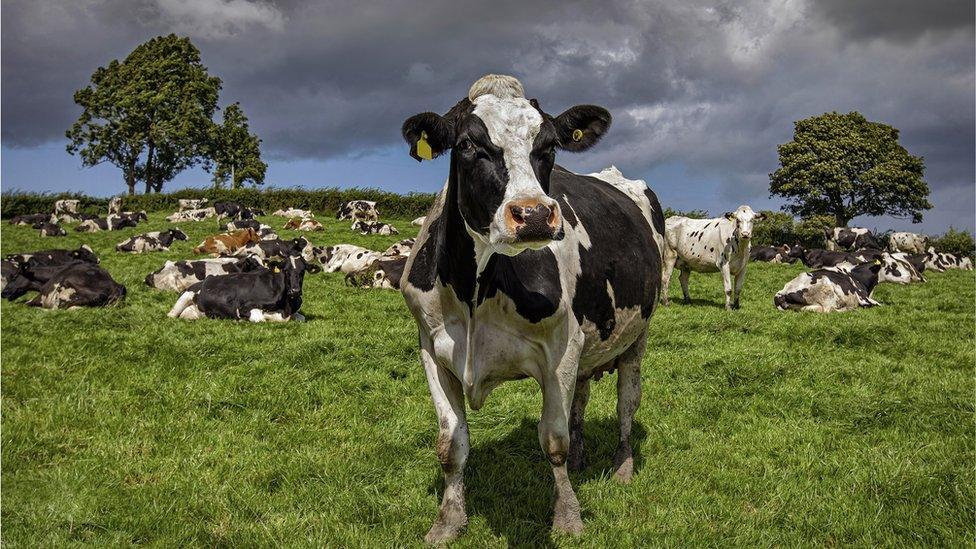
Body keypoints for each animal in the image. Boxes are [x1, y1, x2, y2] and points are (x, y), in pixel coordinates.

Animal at [168, 256, 318, 322]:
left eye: (302, 271)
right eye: (286, 271)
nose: (295, 291)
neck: (286, 306)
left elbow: (301, 317)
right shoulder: (244, 308)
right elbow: (261, 318)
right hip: (185, 297)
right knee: (171, 315)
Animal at [396, 73, 664, 540]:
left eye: (549, 146)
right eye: (468, 144)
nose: (535, 215)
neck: (475, 290)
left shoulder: (561, 349)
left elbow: (553, 441)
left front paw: (568, 516)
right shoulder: (432, 348)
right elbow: (451, 444)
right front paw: (447, 522)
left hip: (637, 337)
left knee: (627, 402)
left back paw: (623, 465)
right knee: (581, 399)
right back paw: (582, 458)